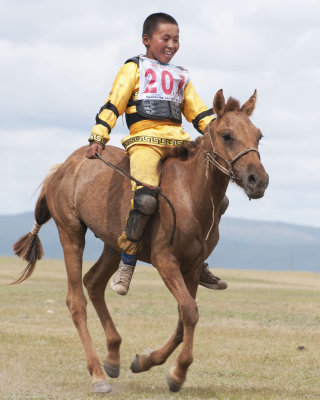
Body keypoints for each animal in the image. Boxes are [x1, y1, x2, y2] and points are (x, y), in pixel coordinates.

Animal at [11, 89, 268, 392]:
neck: (190, 195)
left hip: (113, 244)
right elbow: (189, 311)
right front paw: (177, 373)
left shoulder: (193, 265)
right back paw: (97, 373)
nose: (258, 180)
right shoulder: (165, 260)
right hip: (71, 233)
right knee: (76, 301)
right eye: (227, 135)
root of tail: (63, 167)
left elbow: (183, 318)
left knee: (94, 282)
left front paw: (145, 362)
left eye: (258, 135)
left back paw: (113, 356)